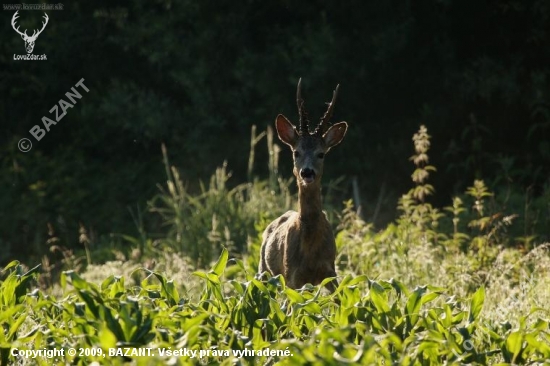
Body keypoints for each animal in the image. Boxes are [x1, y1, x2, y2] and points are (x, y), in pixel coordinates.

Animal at [260, 79, 350, 292]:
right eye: (296, 152)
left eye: (321, 154)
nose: (307, 172)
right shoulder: (293, 277)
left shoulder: (330, 271)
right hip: (264, 270)